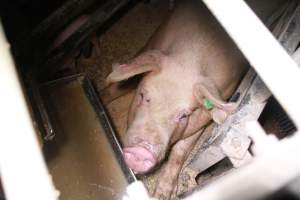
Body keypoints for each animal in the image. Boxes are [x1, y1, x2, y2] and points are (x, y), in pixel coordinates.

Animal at [106, 0, 247, 198]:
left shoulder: (201, 120)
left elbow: (180, 150)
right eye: (143, 95)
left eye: (183, 115)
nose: (141, 151)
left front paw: (161, 195)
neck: (189, 59)